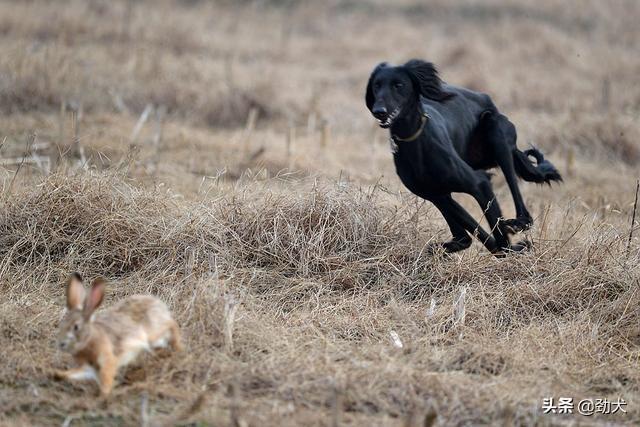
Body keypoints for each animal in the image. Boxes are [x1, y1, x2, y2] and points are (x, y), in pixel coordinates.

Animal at [54, 274, 182, 398]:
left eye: (76, 327)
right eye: (61, 326)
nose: (61, 344)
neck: (90, 339)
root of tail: (157, 303)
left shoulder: (107, 361)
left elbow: (106, 381)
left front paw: (103, 396)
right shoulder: (88, 367)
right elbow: (76, 373)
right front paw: (57, 375)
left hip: (154, 334)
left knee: (172, 325)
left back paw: (179, 347)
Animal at [364, 59, 560, 254]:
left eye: (398, 85)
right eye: (376, 85)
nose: (379, 111)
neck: (414, 139)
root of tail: (485, 97)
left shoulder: (478, 184)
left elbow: (496, 233)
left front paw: (512, 247)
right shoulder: (436, 194)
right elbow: (475, 235)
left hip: (496, 130)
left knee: (516, 193)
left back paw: (520, 221)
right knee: (462, 232)